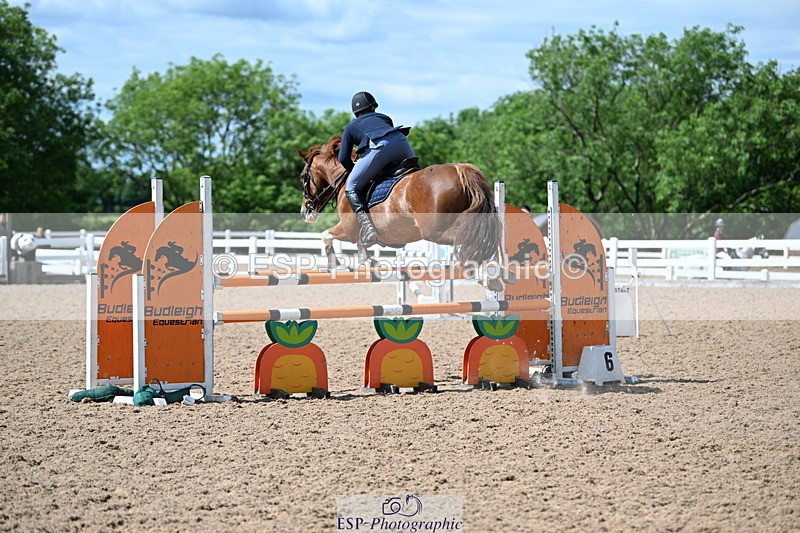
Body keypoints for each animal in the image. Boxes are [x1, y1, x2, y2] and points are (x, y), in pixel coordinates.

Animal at [296, 136, 502, 271]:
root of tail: (460, 169)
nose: (304, 211)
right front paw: (366, 260)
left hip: (434, 231)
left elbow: (325, 235)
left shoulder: (347, 229)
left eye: (303, 177)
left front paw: (335, 263)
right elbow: (361, 244)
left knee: (469, 236)